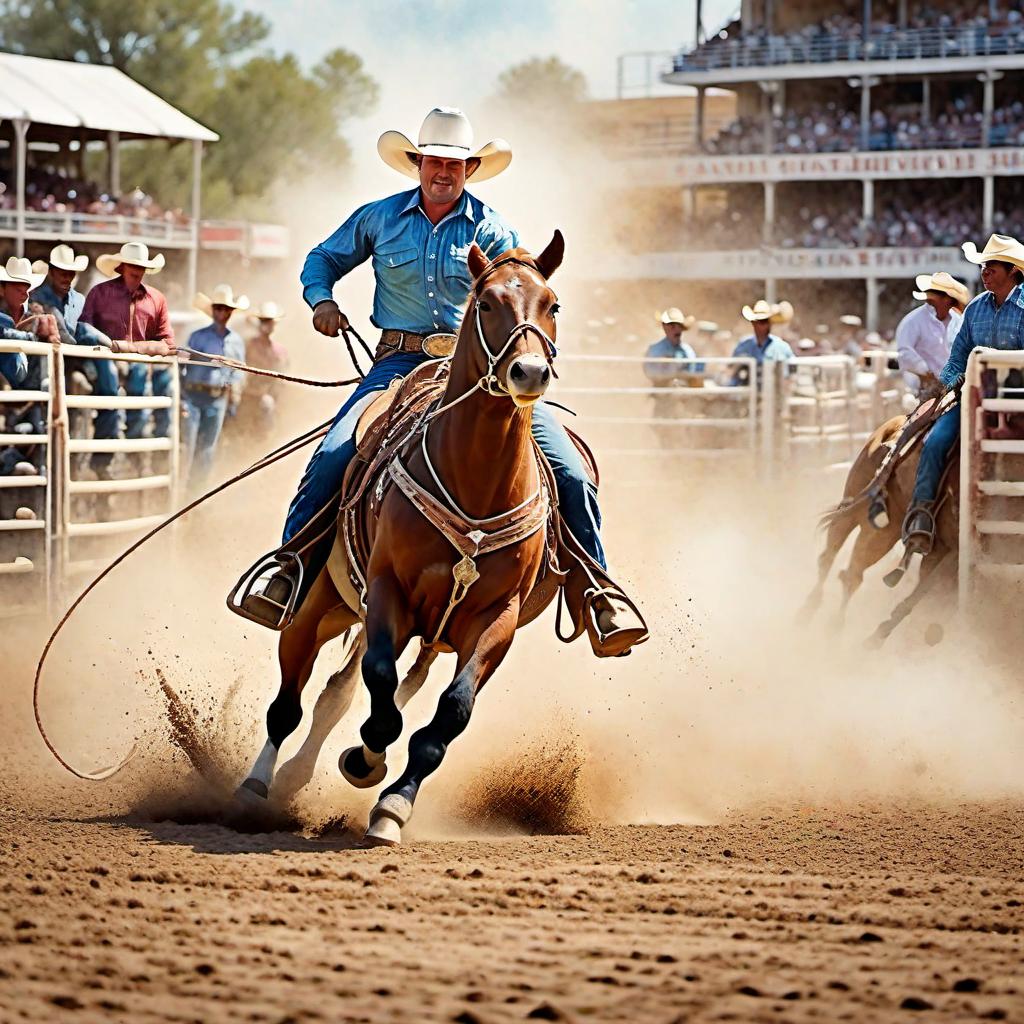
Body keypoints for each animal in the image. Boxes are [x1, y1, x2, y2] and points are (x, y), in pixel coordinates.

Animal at [240, 235, 569, 843]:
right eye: (486, 301)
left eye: (552, 303)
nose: (529, 371)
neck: (475, 482)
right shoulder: (387, 590)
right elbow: (379, 689)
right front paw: (365, 761)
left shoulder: (496, 618)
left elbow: (447, 713)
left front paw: (392, 805)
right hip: (317, 604)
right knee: (291, 697)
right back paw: (255, 786)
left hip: (417, 634)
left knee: (343, 693)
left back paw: (299, 775)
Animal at [806, 409, 958, 638]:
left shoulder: (948, 552)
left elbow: (922, 593)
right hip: (852, 505)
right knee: (831, 557)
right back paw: (809, 614)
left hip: (885, 530)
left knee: (853, 573)